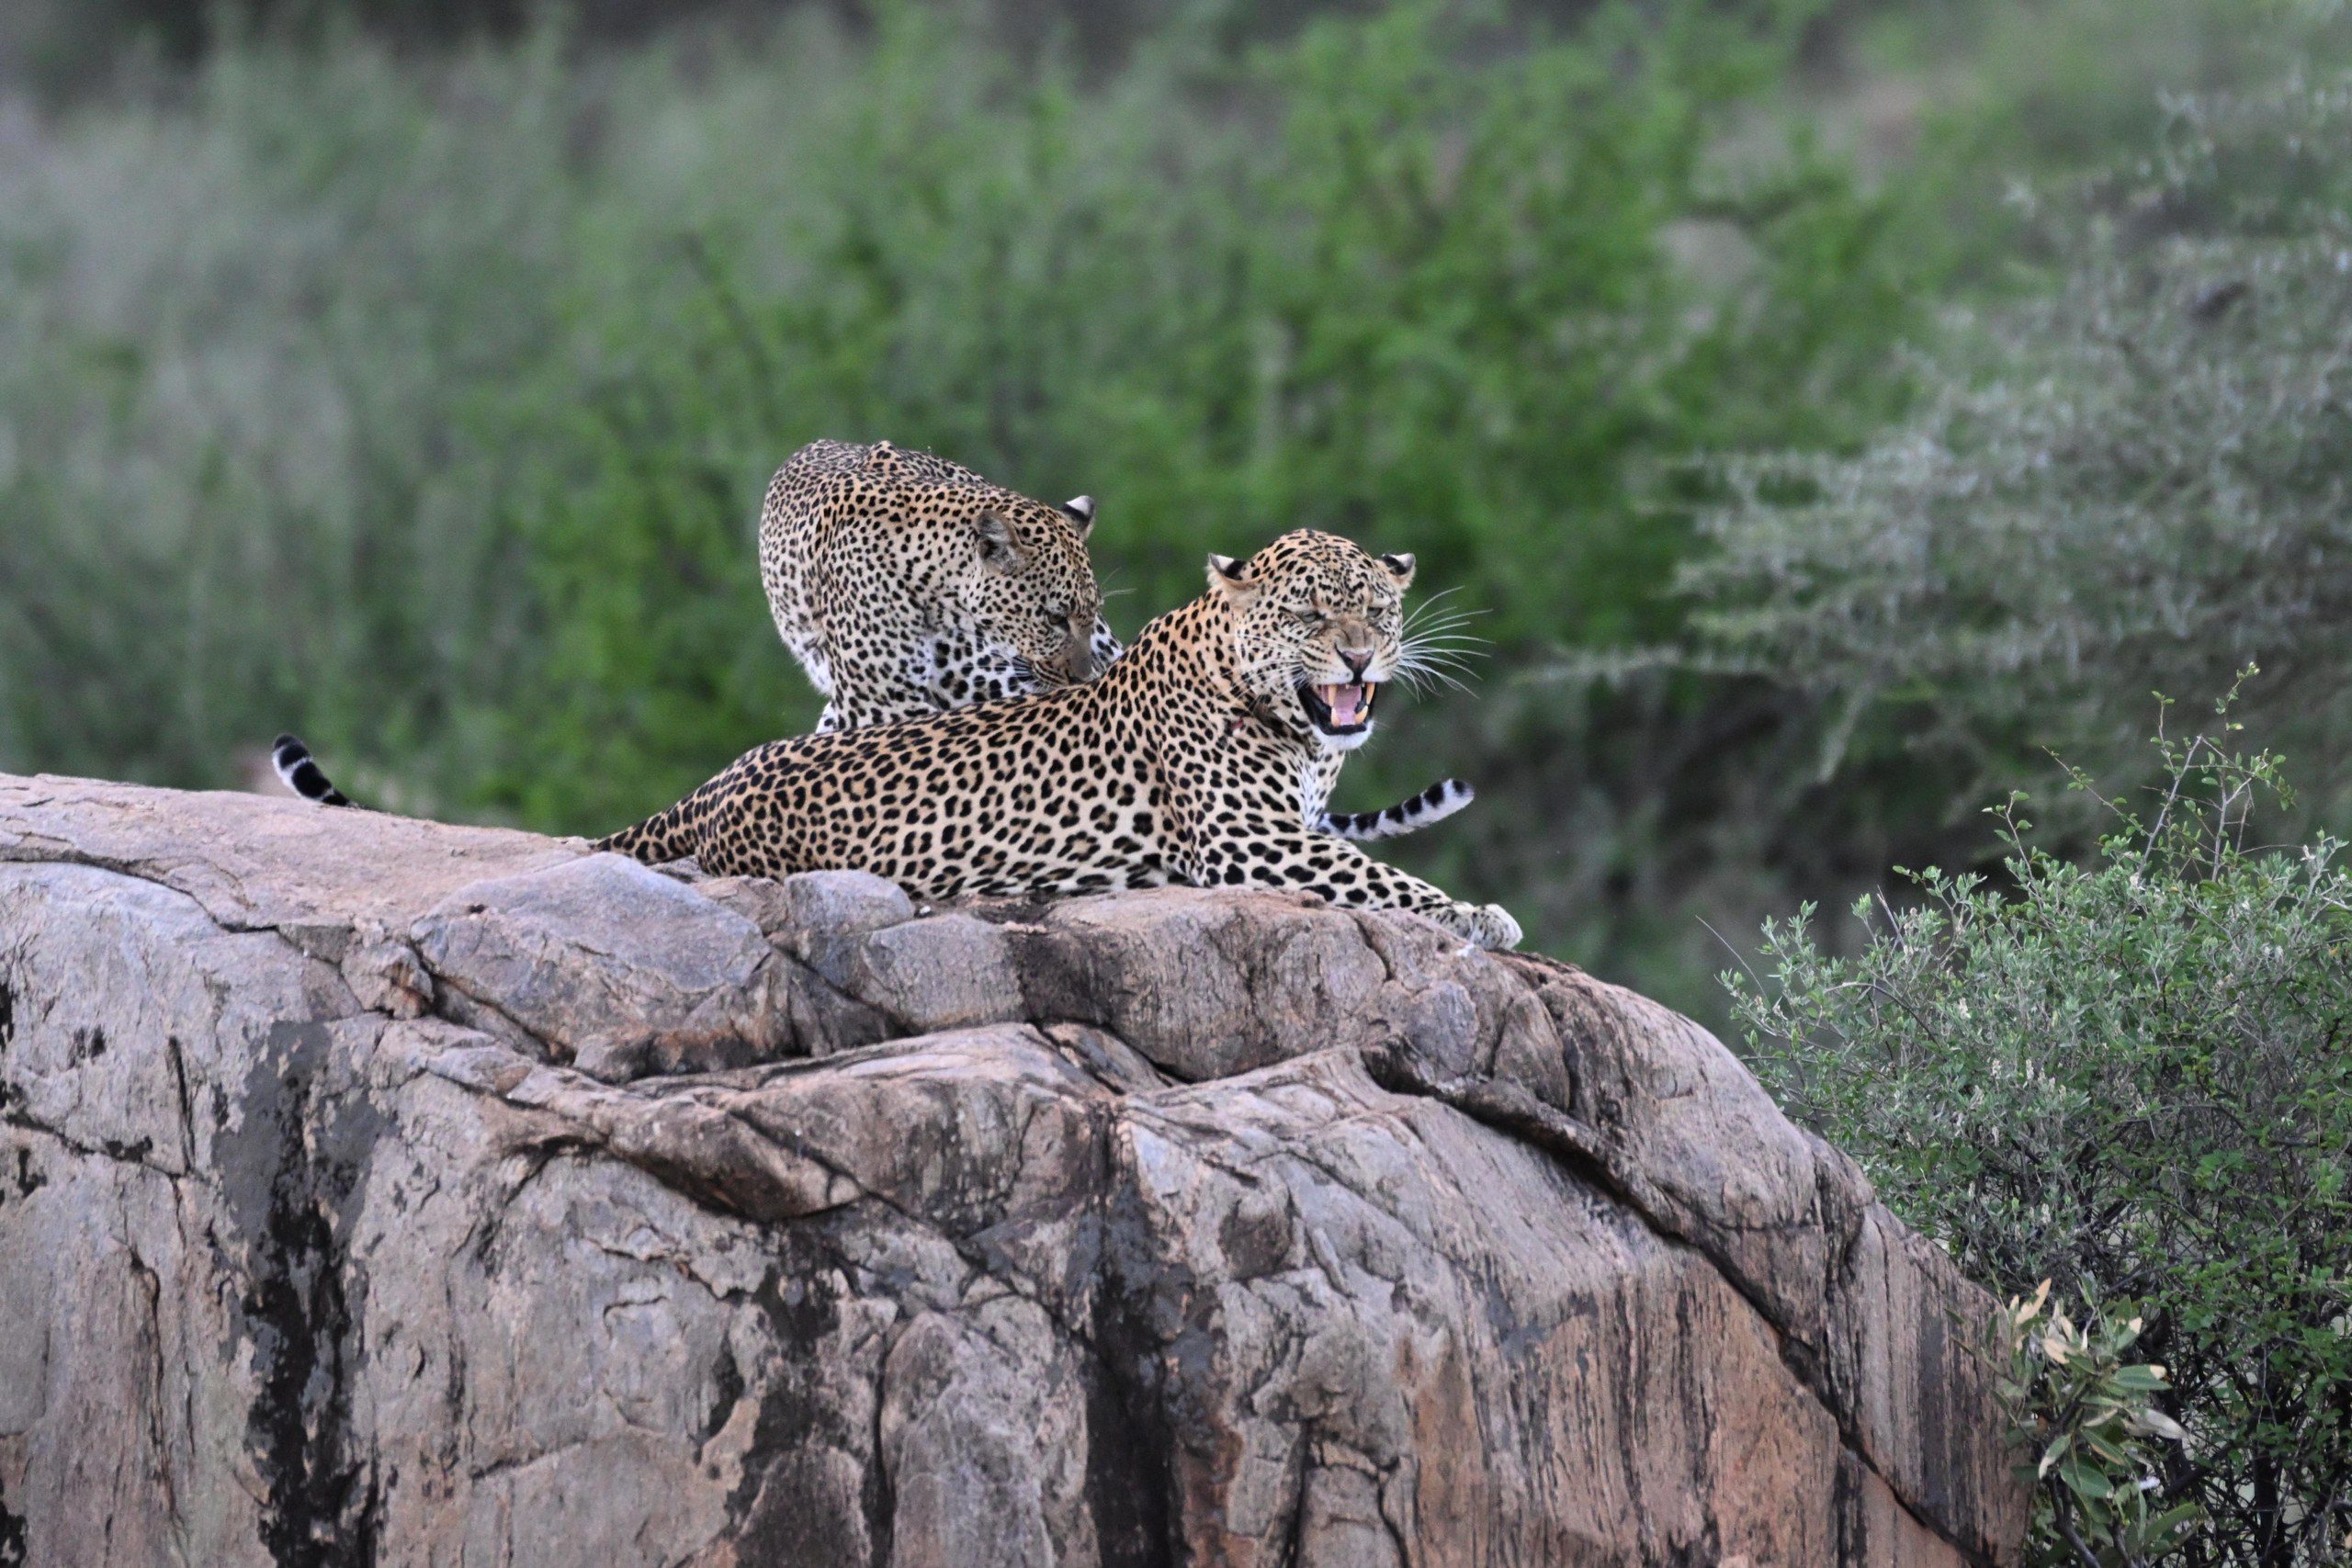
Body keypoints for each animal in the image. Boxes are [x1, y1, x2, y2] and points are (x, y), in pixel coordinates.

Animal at [596, 529, 1522, 949]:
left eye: (1378, 609)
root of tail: (717, 783)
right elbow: (1378, 877)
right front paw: (1473, 913)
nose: (1360, 654)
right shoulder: (1248, 838)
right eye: (1309, 613)